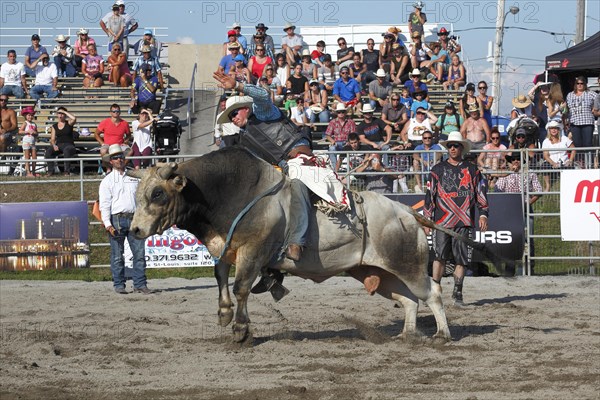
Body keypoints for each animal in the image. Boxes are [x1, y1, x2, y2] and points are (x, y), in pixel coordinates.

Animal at [131, 148, 458, 342]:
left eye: (158, 193)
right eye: (138, 193)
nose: (134, 229)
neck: (230, 192)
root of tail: (407, 213)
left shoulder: (252, 252)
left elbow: (241, 287)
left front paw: (241, 330)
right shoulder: (226, 247)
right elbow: (221, 277)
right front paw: (224, 314)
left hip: (408, 265)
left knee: (432, 292)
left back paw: (442, 335)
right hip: (379, 272)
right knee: (409, 300)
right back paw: (406, 336)